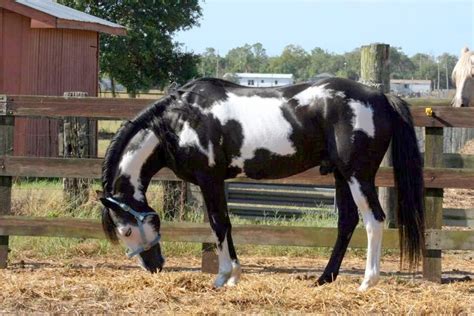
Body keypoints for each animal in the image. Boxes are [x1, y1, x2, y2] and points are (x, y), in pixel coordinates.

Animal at [99, 76, 422, 292]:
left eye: (126, 230)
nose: (153, 266)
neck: (180, 121)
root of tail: (380, 96)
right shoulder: (217, 182)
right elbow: (226, 224)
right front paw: (233, 276)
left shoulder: (209, 180)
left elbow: (218, 224)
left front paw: (222, 277)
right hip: (341, 176)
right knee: (347, 222)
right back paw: (323, 279)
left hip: (358, 175)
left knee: (373, 220)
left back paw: (367, 282)